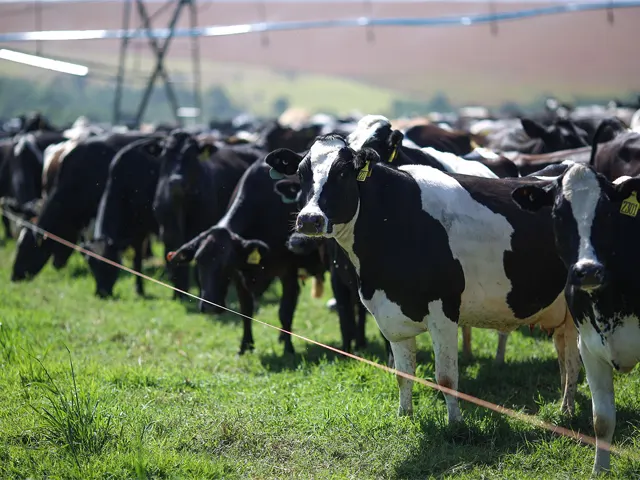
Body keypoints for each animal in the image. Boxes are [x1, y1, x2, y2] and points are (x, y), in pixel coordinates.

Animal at [84, 138, 162, 297]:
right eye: (91, 264)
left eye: (111, 265)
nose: (102, 293)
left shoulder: (141, 230)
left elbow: (137, 259)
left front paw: (139, 289)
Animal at [152, 130, 262, 298]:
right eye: (166, 154)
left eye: (191, 155)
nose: (176, 181)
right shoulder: (168, 231)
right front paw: (179, 293)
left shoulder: (200, 227)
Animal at [166, 159, 325, 355]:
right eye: (198, 262)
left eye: (226, 263)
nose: (209, 307)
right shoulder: (239, 275)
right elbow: (246, 310)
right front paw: (245, 346)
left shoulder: (288, 271)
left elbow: (285, 311)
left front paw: (288, 349)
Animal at [265, 133, 582, 427]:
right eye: (302, 173)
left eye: (342, 172)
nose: (309, 219)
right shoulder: (389, 314)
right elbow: (403, 374)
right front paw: (404, 415)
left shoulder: (444, 311)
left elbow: (446, 378)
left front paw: (455, 423)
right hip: (561, 311)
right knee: (566, 355)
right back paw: (566, 405)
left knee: (574, 360)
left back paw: (566, 411)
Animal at [511, 162, 640, 474]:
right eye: (558, 214)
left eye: (607, 212)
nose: (588, 270)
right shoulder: (590, 346)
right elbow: (601, 419)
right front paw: (600, 471)